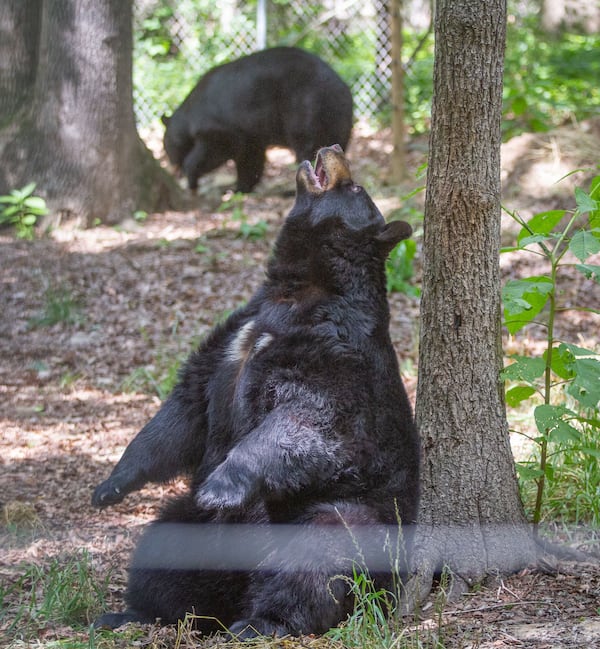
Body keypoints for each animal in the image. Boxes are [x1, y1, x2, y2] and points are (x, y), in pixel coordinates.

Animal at [95, 144, 422, 636]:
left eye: (356, 188)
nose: (333, 148)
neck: (296, 292)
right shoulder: (233, 339)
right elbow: (182, 412)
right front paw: (110, 486)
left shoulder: (331, 352)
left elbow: (306, 419)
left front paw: (221, 485)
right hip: (192, 527)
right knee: (161, 555)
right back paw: (131, 611)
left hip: (346, 515)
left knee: (315, 557)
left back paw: (262, 622)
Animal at [162, 47, 354, 192]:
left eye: (166, 148)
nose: (173, 166)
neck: (189, 114)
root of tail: (340, 87)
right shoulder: (249, 132)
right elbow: (250, 156)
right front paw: (241, 187)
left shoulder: (219, 124)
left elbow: (217, 149)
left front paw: (191, 177)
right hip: (338, 118)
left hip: (305, 106)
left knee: (307, 144)